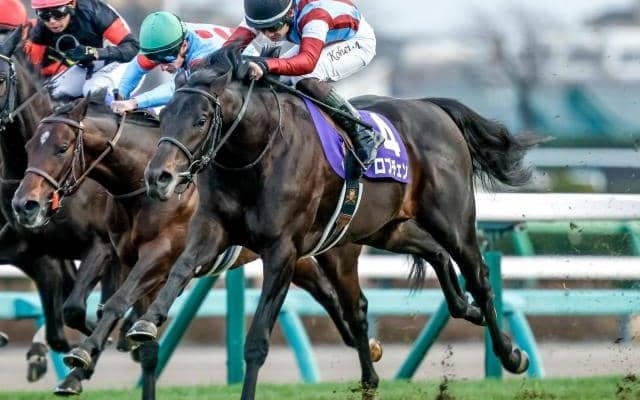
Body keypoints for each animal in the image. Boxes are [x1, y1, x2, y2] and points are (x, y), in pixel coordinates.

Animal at [12, 92, 379, 399]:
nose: (24, 205)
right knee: (325, 291)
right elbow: (100, 315)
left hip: (309, 248)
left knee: (337, 294)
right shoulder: (114, 250)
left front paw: (85, 354)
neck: (139, 182)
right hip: (291, 254)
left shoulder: (160, 252)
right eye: (28, 146)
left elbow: (115, 303)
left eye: (61, 147)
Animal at [130, 44, 544, 399]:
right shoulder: (212, 231)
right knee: (428, 260)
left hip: (452, 219)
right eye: (164, 116)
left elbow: (257, 343)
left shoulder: (282, 251)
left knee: (479, 277)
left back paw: (511, 355)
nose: (159, 178)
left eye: (201, 119)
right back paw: (454, 318)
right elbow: (180, 269)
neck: (254, 154)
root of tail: (432, 107)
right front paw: (147, 323)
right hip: (383, 228)